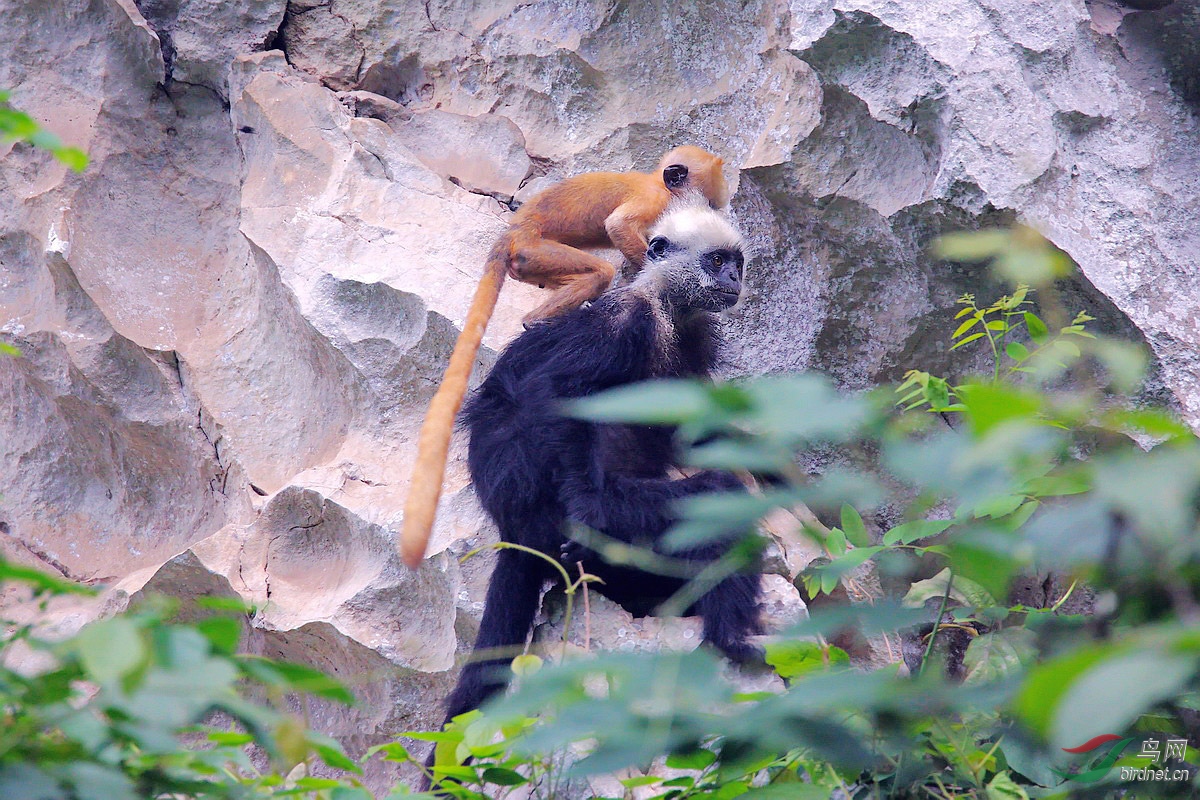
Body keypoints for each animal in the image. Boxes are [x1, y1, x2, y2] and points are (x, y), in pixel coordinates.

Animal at [439, 195, 758, 724]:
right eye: (717, 261)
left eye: (736, 263)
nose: (734, 278)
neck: (665, 308)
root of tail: (515, 528)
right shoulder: (624, 320)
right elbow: (556, 391)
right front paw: (588, 508)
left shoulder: (696, 341)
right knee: (713, 497)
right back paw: (730, 637)